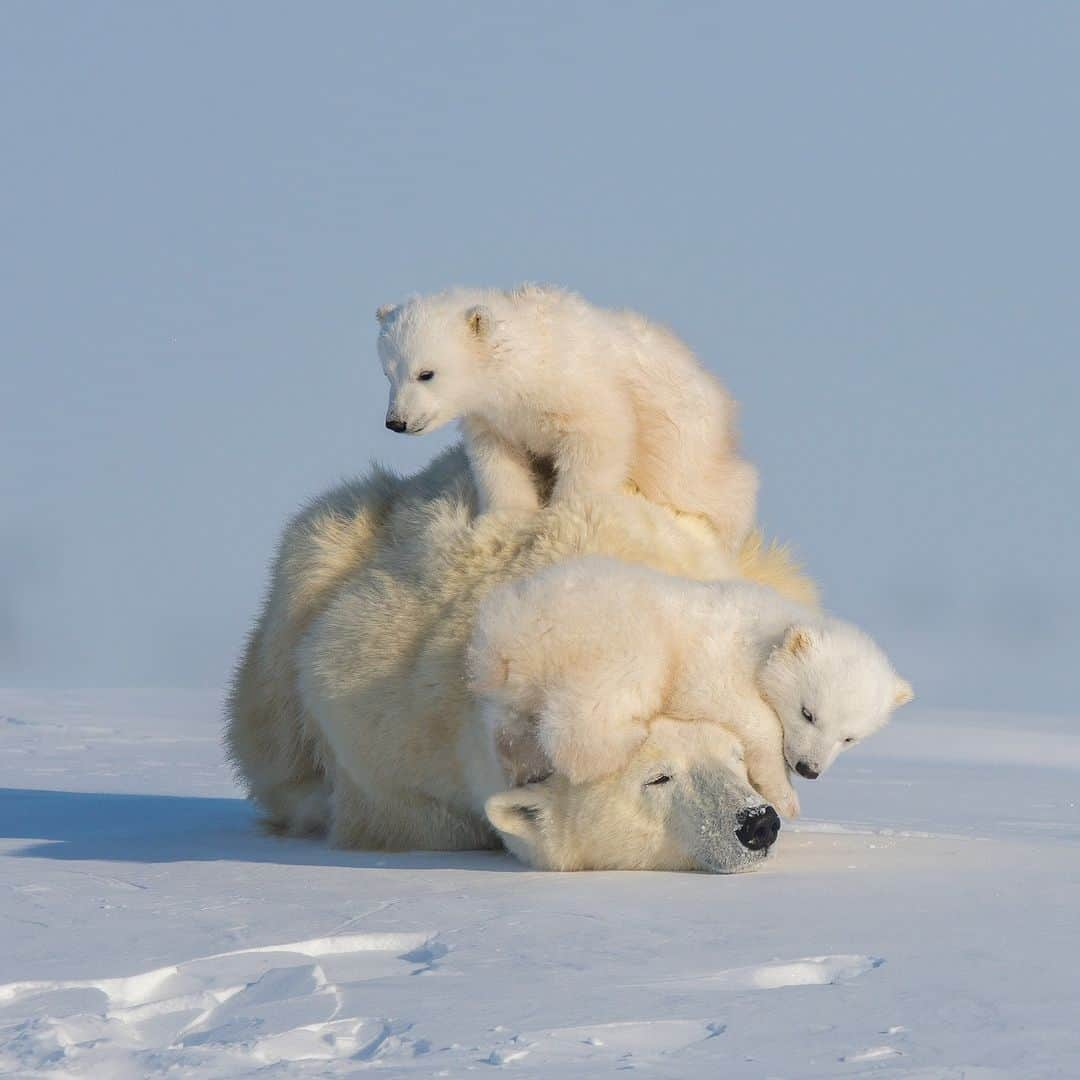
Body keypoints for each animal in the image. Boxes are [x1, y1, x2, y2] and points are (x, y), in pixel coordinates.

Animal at [375, 285, 756, 548]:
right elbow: (498, 460)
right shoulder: (494, 420)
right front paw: (508, 517)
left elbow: (599, 438)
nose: (396, 422)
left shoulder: (578, 389)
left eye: (426, 373)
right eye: (388, 373)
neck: (525, 366)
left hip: (682, 441)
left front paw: (566, 515)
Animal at [470, 557, 911, 816]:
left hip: (519, 679)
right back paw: (625, 738)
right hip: (612, 636)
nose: (809, 769)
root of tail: (507, 630)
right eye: (808, 713)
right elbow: (746, 714)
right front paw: (786, 798)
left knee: (512, 725)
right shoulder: (715, 660)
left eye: (850, 738)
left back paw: (521, 763)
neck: (766, 629)